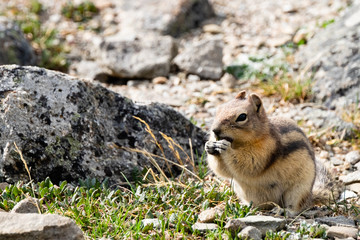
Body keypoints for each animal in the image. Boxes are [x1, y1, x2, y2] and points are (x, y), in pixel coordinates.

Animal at [205, 91, 338, 215]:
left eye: (242, 117)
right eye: (219, 109)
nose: (215, 130)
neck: (239, 144)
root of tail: (310, 196)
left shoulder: (266, 150)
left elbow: (250, 164)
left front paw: (226, 147)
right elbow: (222, 171)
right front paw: (209, 146)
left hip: (298, 190)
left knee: (297, 207)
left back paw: (283, 210)